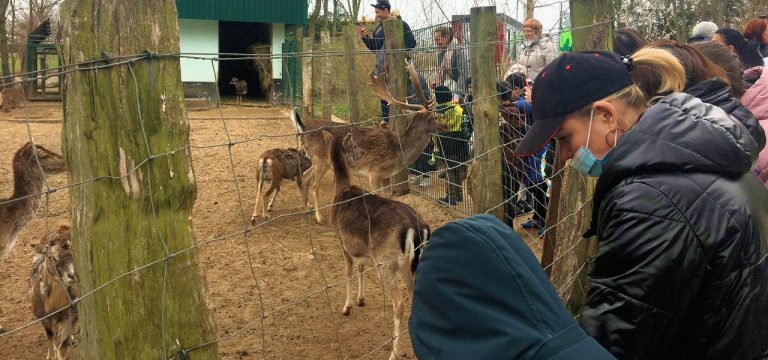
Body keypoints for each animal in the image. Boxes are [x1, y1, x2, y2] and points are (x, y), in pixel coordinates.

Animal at [28, 224, 77, 358]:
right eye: (51, 257)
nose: (72, 275)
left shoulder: (69, 319)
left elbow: (62, 349)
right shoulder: (44, 320)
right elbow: (50, 338)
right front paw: (50, 356)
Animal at [290, 60, 444, 224]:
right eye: (435, 116)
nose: (447, 125)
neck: (398, 151)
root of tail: (303, 128)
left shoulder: (386, 175)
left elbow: (388, 197)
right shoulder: (374, 171)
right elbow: (377, 196)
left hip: (317, 160)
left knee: (304, 176)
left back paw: (306, 208)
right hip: (320, 160)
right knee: (313, 184)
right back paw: (319, 216)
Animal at [328, 132, 428, 360]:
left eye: (353, 146)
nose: (362, 158)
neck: (342, 190)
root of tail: (416, 228)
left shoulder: (341, 240)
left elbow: (348, 271)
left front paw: (347, 307)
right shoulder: (360, 247)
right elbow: (360, 267)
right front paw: (361, 299)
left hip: (387, 263)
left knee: (399, 304)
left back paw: (393, 353)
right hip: (412, 265)